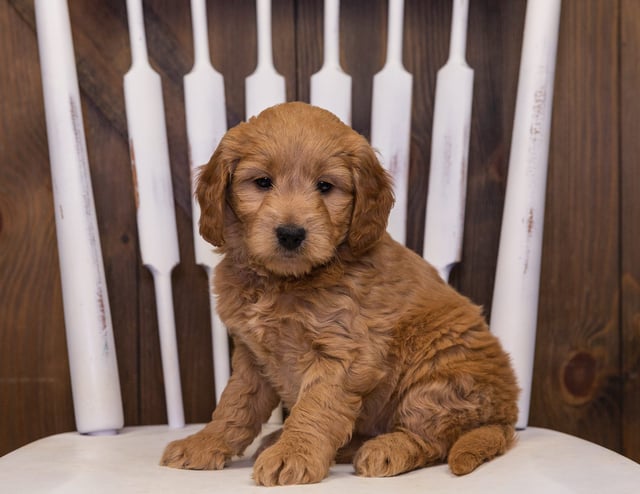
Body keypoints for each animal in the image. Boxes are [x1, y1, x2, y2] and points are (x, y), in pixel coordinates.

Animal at [161, 101, 520, 486]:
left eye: (325, 186)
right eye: (262, 182)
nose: (291, 234)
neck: (284, 281)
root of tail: (506, 416)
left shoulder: (344, 354)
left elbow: (315, 408)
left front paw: (293, 454)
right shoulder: (252, 357)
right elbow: (235, 404)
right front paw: (205, 443)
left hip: (438, 371)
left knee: (429, 437)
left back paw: (388, 449)